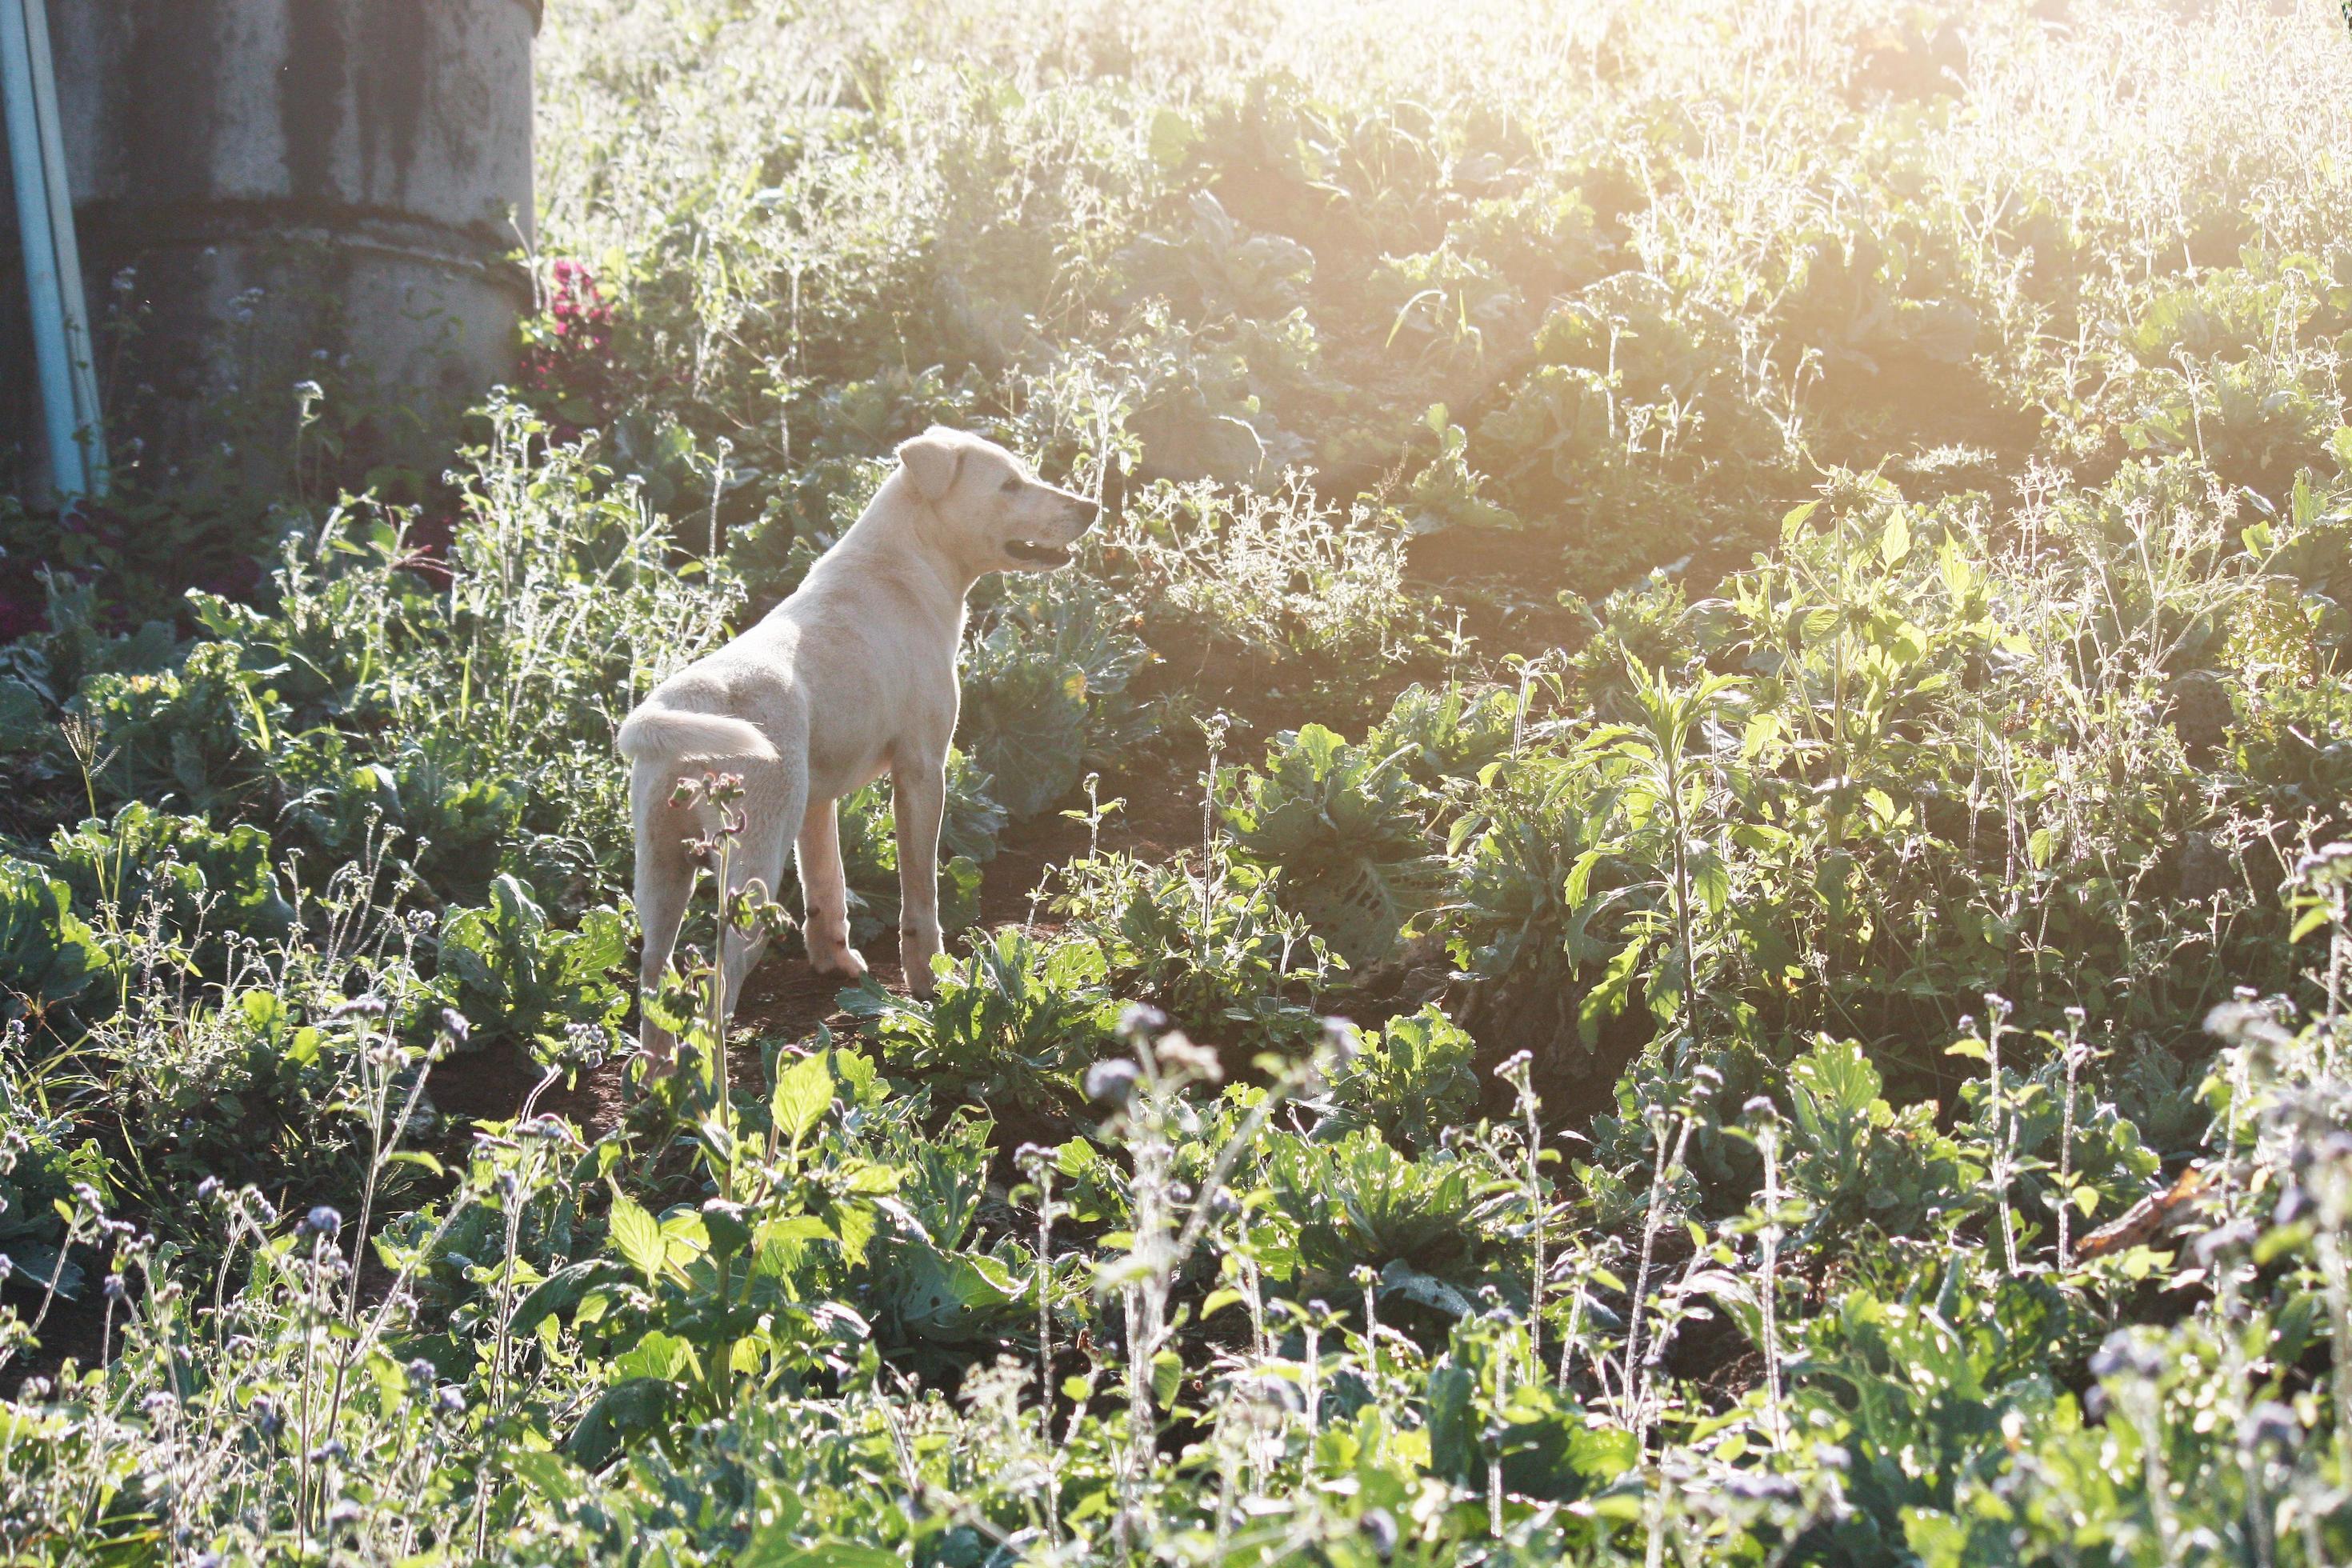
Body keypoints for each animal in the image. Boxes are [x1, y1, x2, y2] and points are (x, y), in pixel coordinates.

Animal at [626, 430, 1100, 1067]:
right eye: (1009, 485)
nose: (1092, 508)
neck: (904, 562)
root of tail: (682, 710)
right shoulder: (922, 771)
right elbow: (920, 892)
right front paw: (931, 980)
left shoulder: (816, 803)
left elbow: (827, 885)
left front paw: (835, 963)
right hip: (750, 867)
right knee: (716, 992)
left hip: (660, 869)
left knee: (655, 977)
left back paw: (658, 1081)